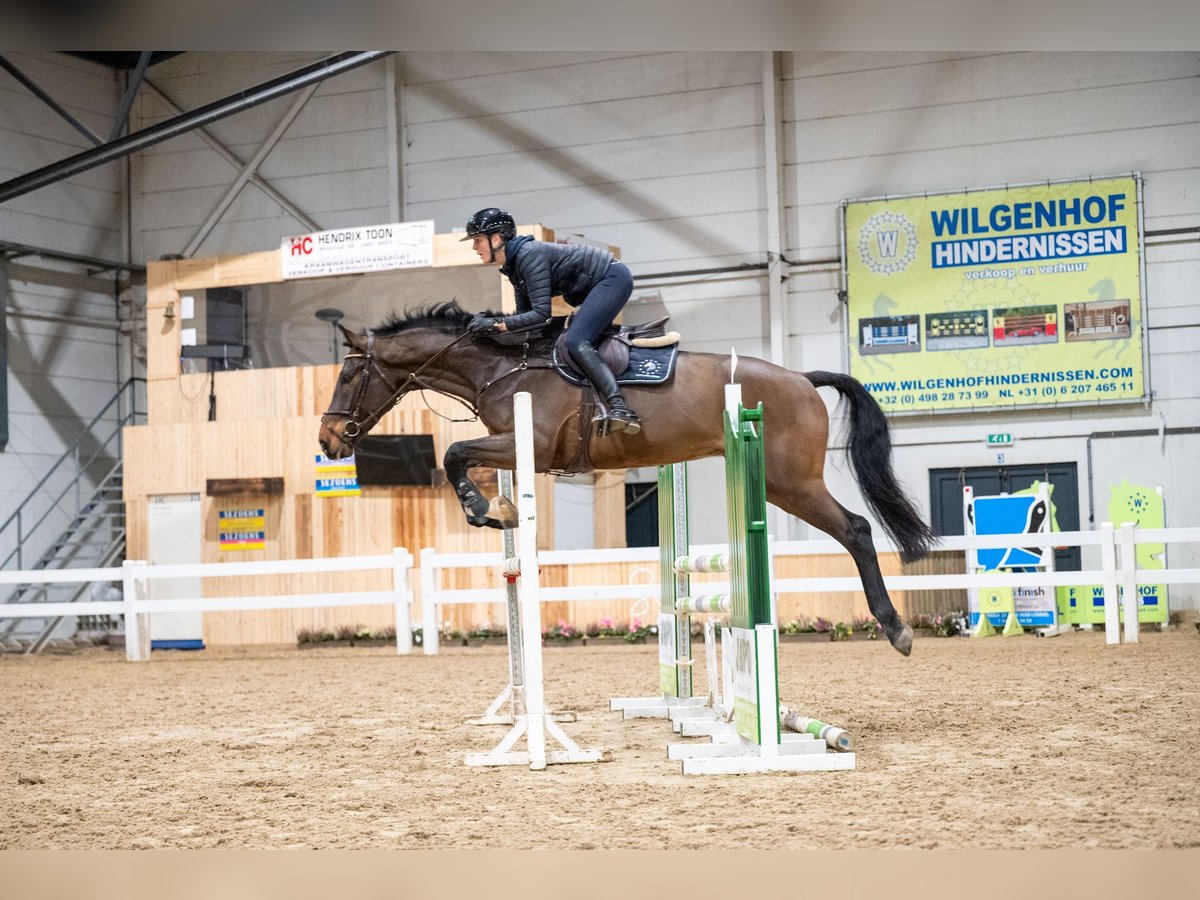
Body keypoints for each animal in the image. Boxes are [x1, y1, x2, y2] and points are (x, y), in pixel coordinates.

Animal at [319, 301, 936, 657]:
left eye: (348, 375)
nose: (328, 441)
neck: (499, 366)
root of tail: (804, 379)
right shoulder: (519, 452)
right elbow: (460, 457)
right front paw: (500, 510)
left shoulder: (529, 445)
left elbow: (452, 454)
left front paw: (481, 509)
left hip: (791, 484)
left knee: (856, 529)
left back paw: (896, 629)